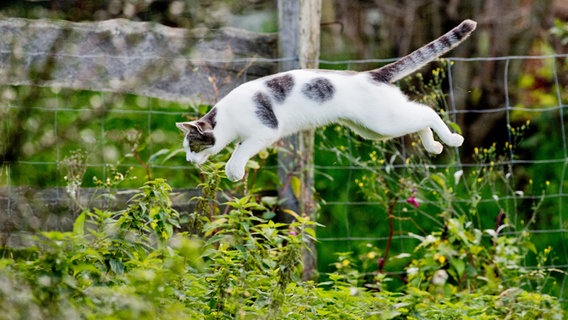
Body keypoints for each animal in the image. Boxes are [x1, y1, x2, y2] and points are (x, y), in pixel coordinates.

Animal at [176, 18, 474, 181]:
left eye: (193, 146)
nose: (189, 161)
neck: (228, 119)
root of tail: (372, 74)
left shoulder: (264, 131)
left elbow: (238, 153)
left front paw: (234, 171)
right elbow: (239, 149)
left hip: (383, 122)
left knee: (428, 112)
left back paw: (452, 140)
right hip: (375, 129)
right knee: (419, 118)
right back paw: (434, 147)